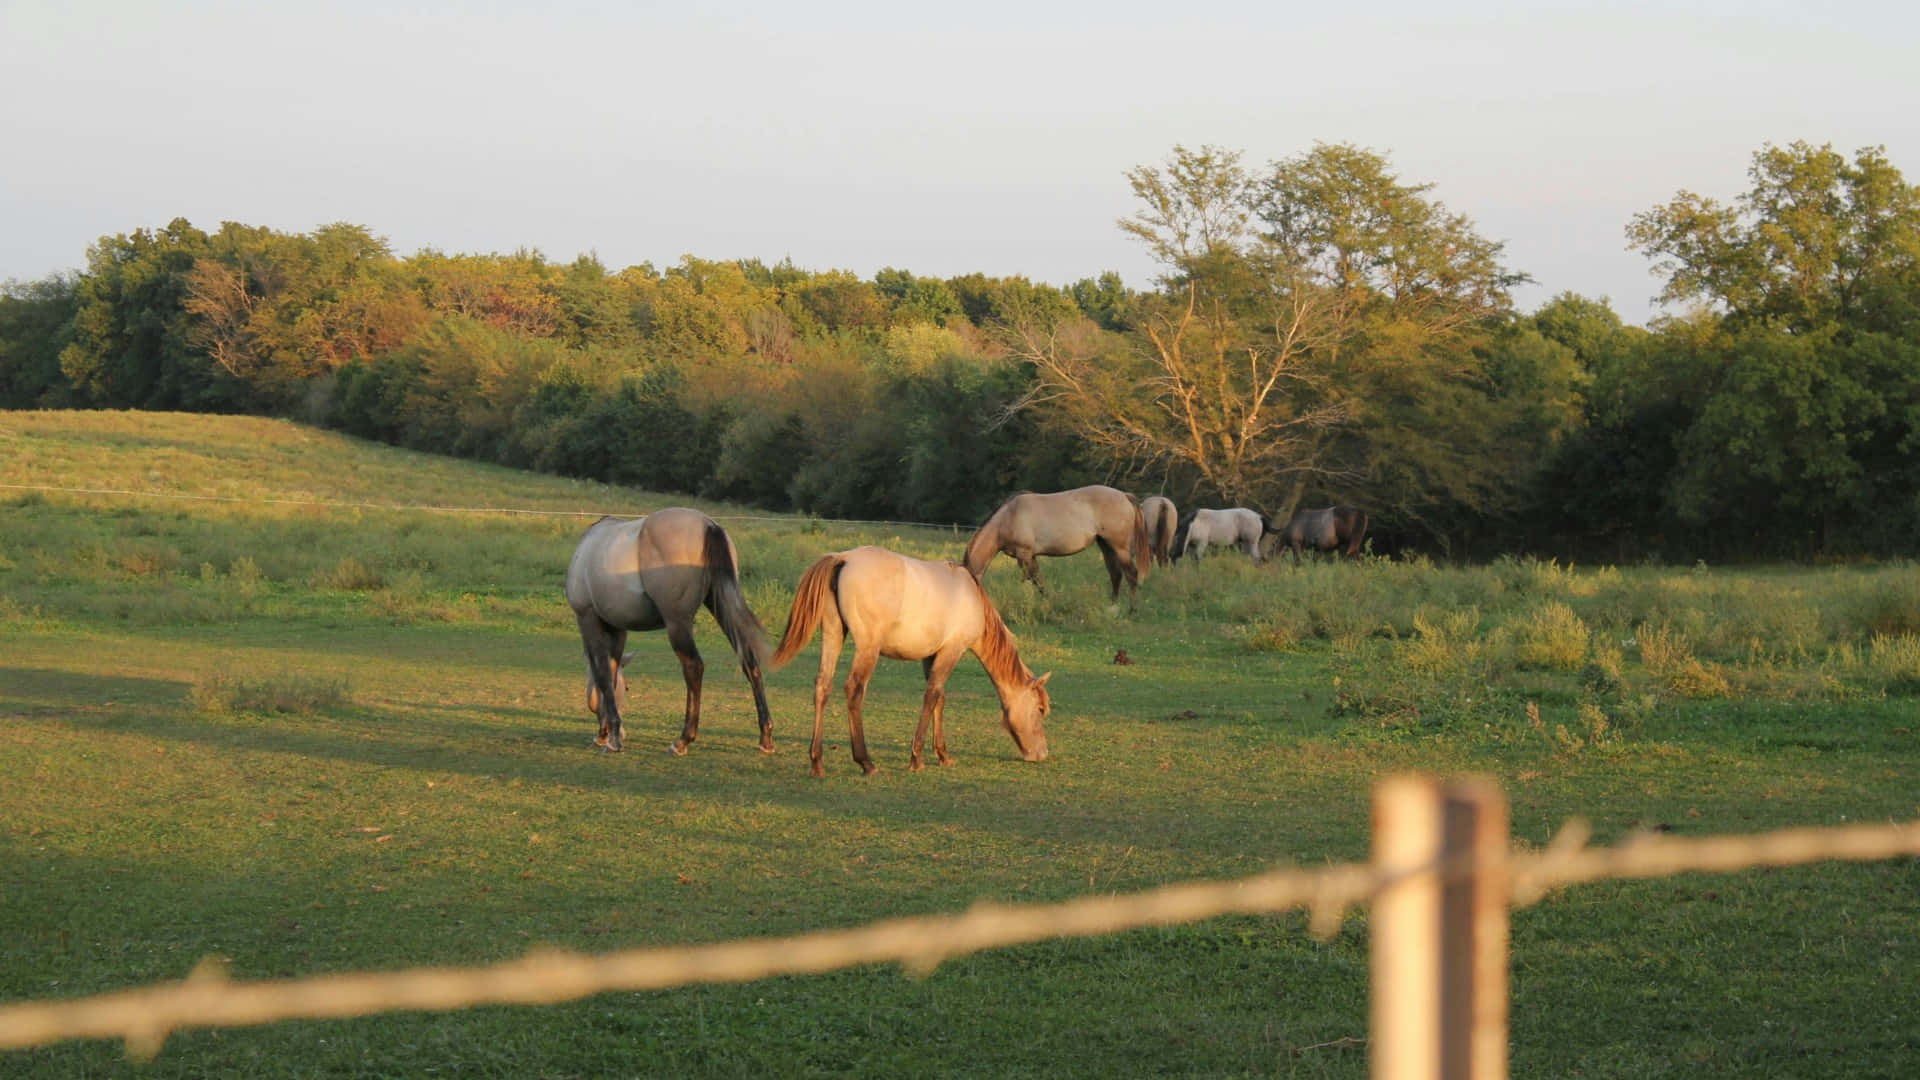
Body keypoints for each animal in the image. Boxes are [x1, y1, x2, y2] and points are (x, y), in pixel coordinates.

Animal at [565, 508, 774, 754]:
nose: (620, 732)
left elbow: (603, 675)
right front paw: (609, 732)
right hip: (721, 606)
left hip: (677, 623)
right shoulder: (618, 629)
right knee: (750, 663)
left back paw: (683, 740)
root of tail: (708, 525)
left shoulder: (588, 619)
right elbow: (612, 675)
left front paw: (610, 737)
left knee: (694, 667)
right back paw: (766, 736)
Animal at [769, 546, 1052, 778]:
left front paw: (943, 754)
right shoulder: (952, 650)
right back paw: (866, 762)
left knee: (822, 687)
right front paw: (916, 758)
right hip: (867, 648)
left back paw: (817, 762)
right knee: (854, 691)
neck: (972, 599)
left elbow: (939, 698)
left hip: (833, 634)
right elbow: (931, 696)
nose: (1042, 754)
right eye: (1040, 710)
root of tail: (843, 558)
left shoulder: (931, 656)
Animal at [962, 485, 1151, 602]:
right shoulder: (1030, 556)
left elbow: (1035, 581)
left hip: (1119, 547)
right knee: (1116, 574)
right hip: (1106, 545)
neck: (1008, 517)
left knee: (1131, 574)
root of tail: (1124, 495)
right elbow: (1037, 580)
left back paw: (1132, 610)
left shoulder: (1025, 554)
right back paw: (1113, 608)